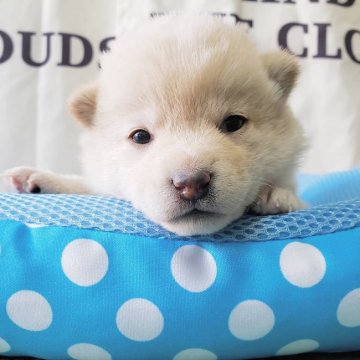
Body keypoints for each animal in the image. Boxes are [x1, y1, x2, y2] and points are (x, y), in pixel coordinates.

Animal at [3, 14, 306, 236]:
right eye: (140, 136)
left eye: (233, 123)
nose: (191, 183)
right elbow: (91, 186)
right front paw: (37, 179)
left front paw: (277, 195)